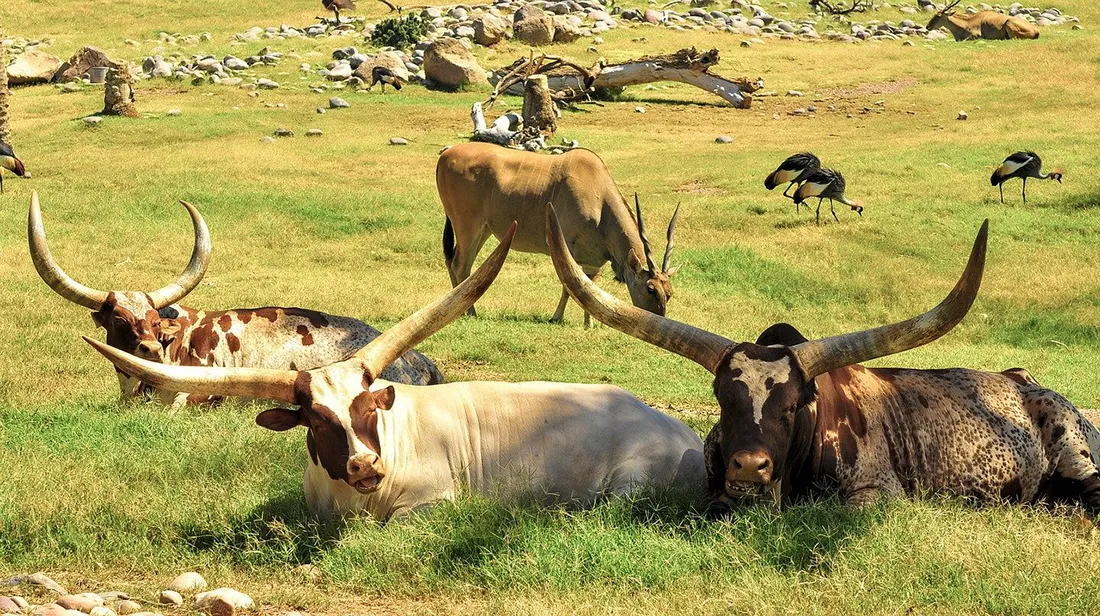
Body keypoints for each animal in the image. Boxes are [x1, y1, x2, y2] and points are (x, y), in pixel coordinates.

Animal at [83, 226, 707, 519]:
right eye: (314, 420)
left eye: (367, 408)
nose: (364, 465)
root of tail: (684, 431)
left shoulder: (429, 506)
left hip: (629, 488)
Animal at [437, 142, 681, 327]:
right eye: (650, 289)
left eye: (669, 293)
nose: (659, 319)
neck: (599, 197)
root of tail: (445, 156)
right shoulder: (565, 247)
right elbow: (570, 285)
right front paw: (556, 318)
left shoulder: (593, 261)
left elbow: (590, 288)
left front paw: (589, 324)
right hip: (468, 226)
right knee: (460, 265)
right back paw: (469, 312)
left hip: (484, 230)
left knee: (458, 264)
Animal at [547, 205, 1100, 512]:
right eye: (722, 400)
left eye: (793, 406)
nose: (750, 466)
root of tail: (1025, 381)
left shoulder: (877, 493)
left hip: (1076, 455)